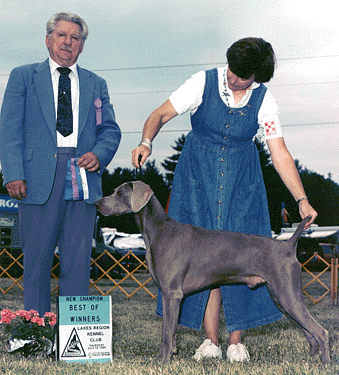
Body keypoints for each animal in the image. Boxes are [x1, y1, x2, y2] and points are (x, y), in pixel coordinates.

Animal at [95, 182, 330, 364]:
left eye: (119, 193)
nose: (97, 203)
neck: (157, 230)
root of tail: (289, 245)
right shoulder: (172, 297)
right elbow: (171, 334)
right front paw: (168, 357)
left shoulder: (172, 294)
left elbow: (166, 335)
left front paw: (162, 363)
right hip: (281, 298)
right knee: (309, 333)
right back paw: (311, 361)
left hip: (288, 295)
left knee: (321, 332)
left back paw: (325, 365)